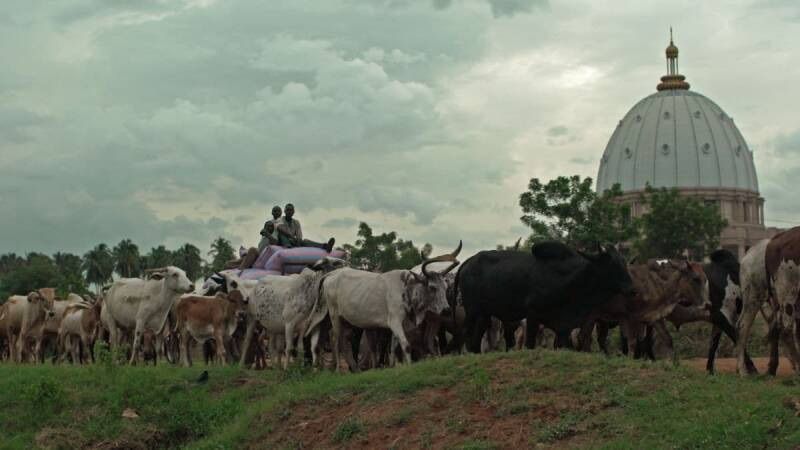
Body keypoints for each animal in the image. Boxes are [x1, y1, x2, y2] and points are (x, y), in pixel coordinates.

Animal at [456, 241, 636, 354]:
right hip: (472, 311)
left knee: (475, 339)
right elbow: (530, 343)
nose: (632, 288)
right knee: (466, 334)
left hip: (484, 315)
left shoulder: (563, 326)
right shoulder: (532, 315)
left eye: (623, 261)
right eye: (612, 264)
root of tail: (467, 262)